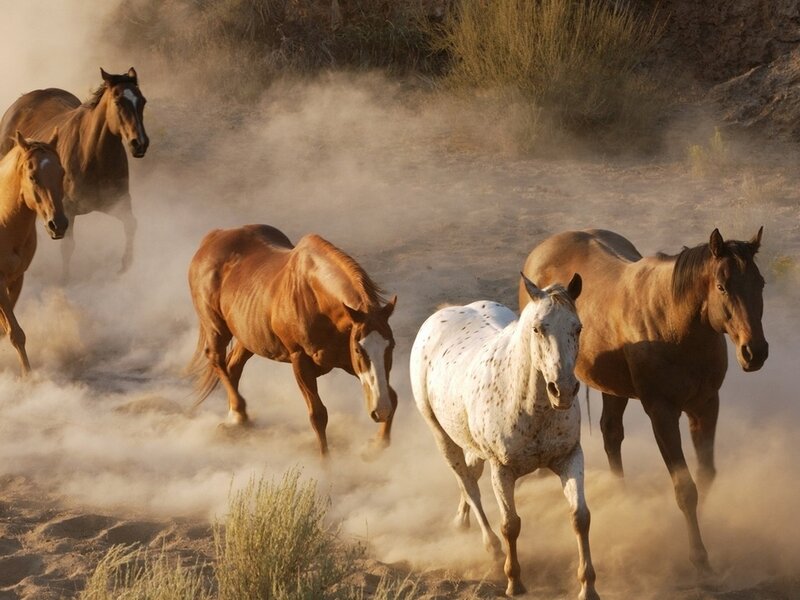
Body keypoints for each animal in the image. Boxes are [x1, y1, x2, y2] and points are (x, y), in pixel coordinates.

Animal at [0, 68, 149, 279]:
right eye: (118, 102)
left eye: (142, 101)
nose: (140, 143)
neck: (93, 156)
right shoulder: (66, 210)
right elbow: (67, 247)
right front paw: (65, 279)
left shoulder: (119, 202)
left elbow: (131, 224)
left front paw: (125, 266)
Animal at [0, 131, 68, 375]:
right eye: (32, 176)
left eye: (61, 172)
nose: (58, 224)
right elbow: (15, 332)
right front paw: (29, 378)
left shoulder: (17, 278)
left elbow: (8, 330)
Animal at [187, 224, 398, 456]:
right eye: (359, 349)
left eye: (391, 346)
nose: (380, 410)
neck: (316, 298)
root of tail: (213, 237)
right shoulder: (301, 361)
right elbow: (318, 415)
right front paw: (326, 463)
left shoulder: (345, 361)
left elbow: (393, 396)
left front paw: (376, 446)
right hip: (216, 328)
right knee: (216, 359)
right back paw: (238, 414)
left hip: (247, 336)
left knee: (233, 366)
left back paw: (237, 419)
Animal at [410, 274, 598, 599]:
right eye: (538, 328)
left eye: (577, 327)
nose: (563, 390)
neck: (530, 406)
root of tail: (443, 313)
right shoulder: (503, 470)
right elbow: (510, 525)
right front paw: (515, 582)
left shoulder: (569, 457)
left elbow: (580, 517)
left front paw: (587, 586)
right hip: (442, 436)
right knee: (468, 484)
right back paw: (492, 548)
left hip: (470, 443)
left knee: (470, 475)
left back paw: (461, 520)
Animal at [520, 228, 768, 576]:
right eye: (722, 286)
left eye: (760, 284)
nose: (754, 352)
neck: (676, 324)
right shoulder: (662, 414)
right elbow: (685, 488)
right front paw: (698, 555)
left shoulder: (705, 406)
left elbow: (705, 475)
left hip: (613, 389)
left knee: (611, 434)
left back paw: (623, 496)